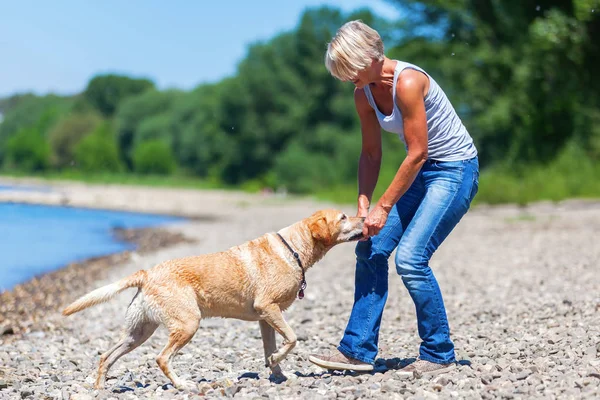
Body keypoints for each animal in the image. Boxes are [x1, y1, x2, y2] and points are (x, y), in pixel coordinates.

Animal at [64, 208, 366, 390]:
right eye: (343, 217)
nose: (364, 219)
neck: (294, 249)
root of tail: (147, 273)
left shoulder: (266, 319)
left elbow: (271, 348)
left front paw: (278, 373)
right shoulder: (268, 308)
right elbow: (292, 339)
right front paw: (278, 361)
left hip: (138, 332)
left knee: (106, 356)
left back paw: (100, 387)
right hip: (187, 323)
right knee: (162, 358)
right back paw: (182, 384)